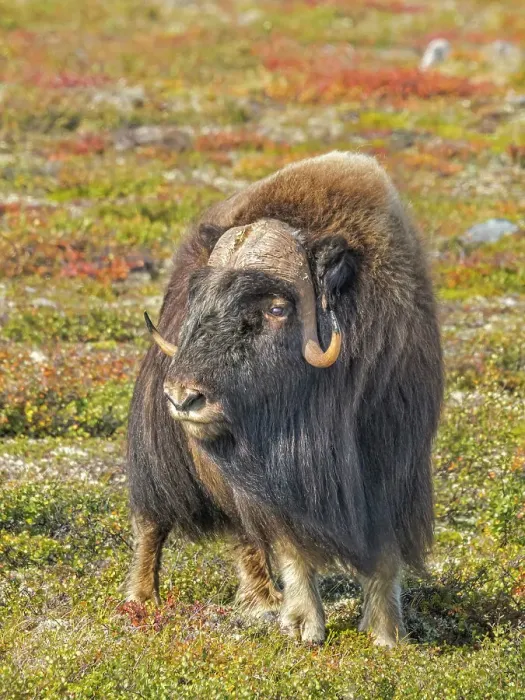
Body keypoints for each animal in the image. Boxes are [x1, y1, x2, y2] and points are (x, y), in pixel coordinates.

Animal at [125, 151, 443, 646]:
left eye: (277, 307)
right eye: (200, 301)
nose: (183, 397)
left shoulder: (392, 463)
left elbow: (385, 551)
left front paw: (387, 635)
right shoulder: (279, 484)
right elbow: (292, 543)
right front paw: (304, 627)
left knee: (243, 537)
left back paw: (261, 600)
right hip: (160, 453)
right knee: (152, 521)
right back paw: (142, 600)